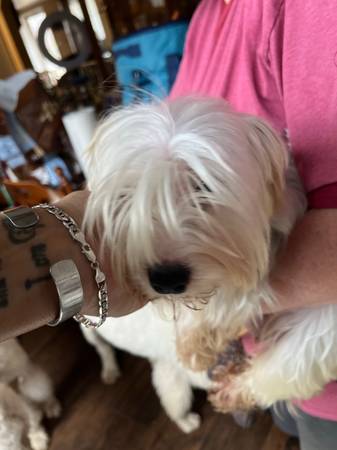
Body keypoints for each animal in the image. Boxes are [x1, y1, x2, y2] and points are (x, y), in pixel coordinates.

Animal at [82, 98, 336, 414]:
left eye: (203, 187)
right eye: (128, 195)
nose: (166, 280)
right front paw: (194, 340)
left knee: (283, 369)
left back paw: (234, 390)